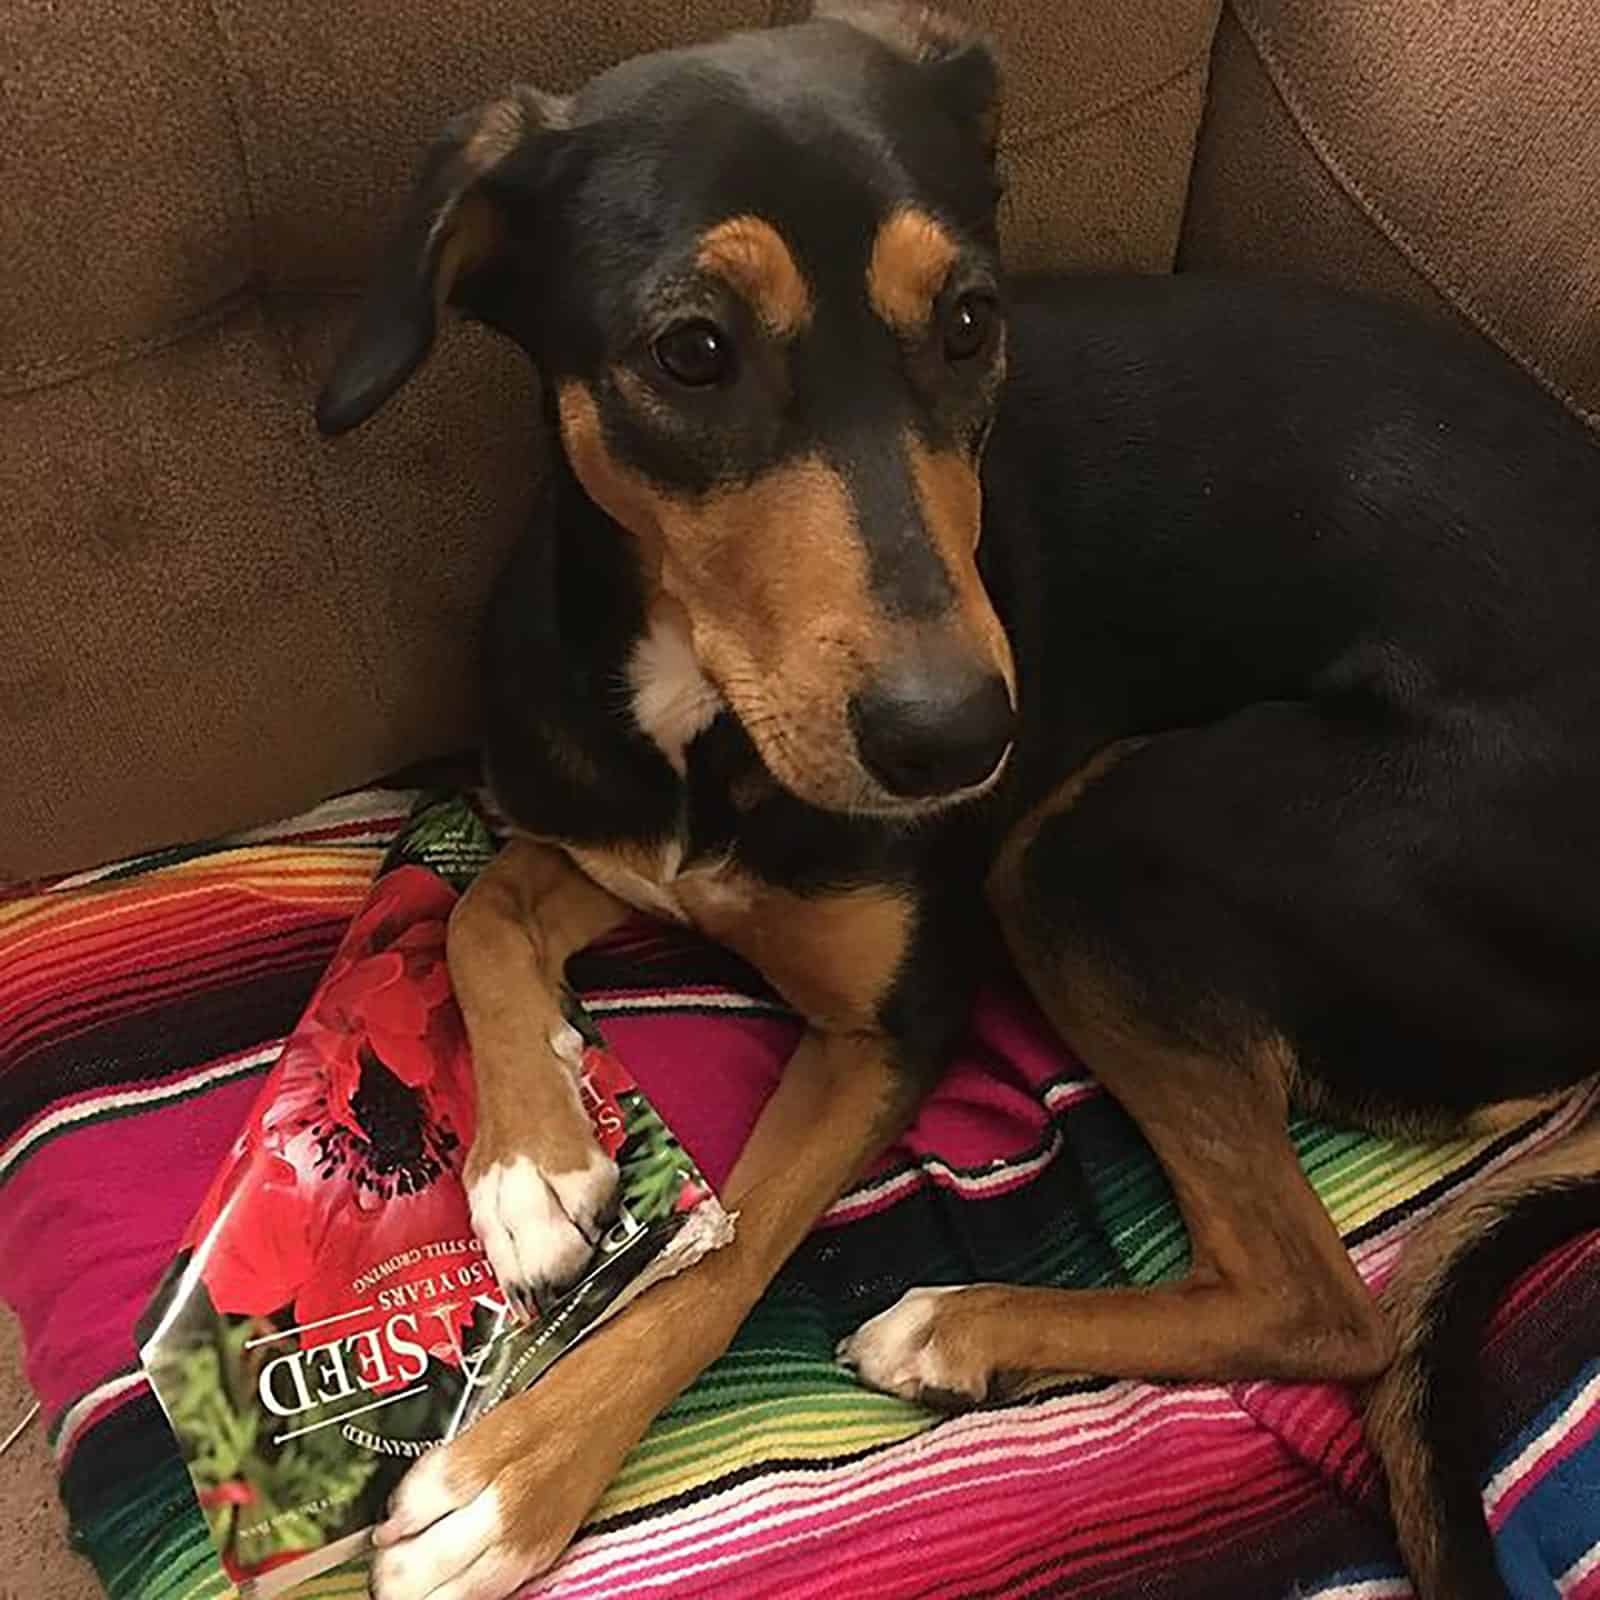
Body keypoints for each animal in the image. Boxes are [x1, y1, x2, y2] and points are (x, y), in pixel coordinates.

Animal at [312, 6, 1600, 1593]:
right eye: (692, 351)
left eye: (972, 323)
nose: (959, 740)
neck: (703, 713)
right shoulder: (607, 834)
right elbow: (477, 910)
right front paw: (533, 1163)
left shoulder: (892, 1025)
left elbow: (727, 1249)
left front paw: (508, 1480)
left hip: (1099, 842)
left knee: (1325, 1305)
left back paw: (959, 1325)